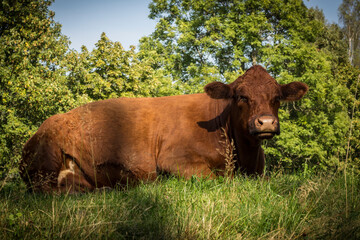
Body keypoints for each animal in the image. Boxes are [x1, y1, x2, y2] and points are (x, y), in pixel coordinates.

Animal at [19, 65, 306, 193]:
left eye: (277, 97)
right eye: (241, 97)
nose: (265, 122)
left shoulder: (258, 170)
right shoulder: (175, 159)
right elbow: (218, 179)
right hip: (45, 162)